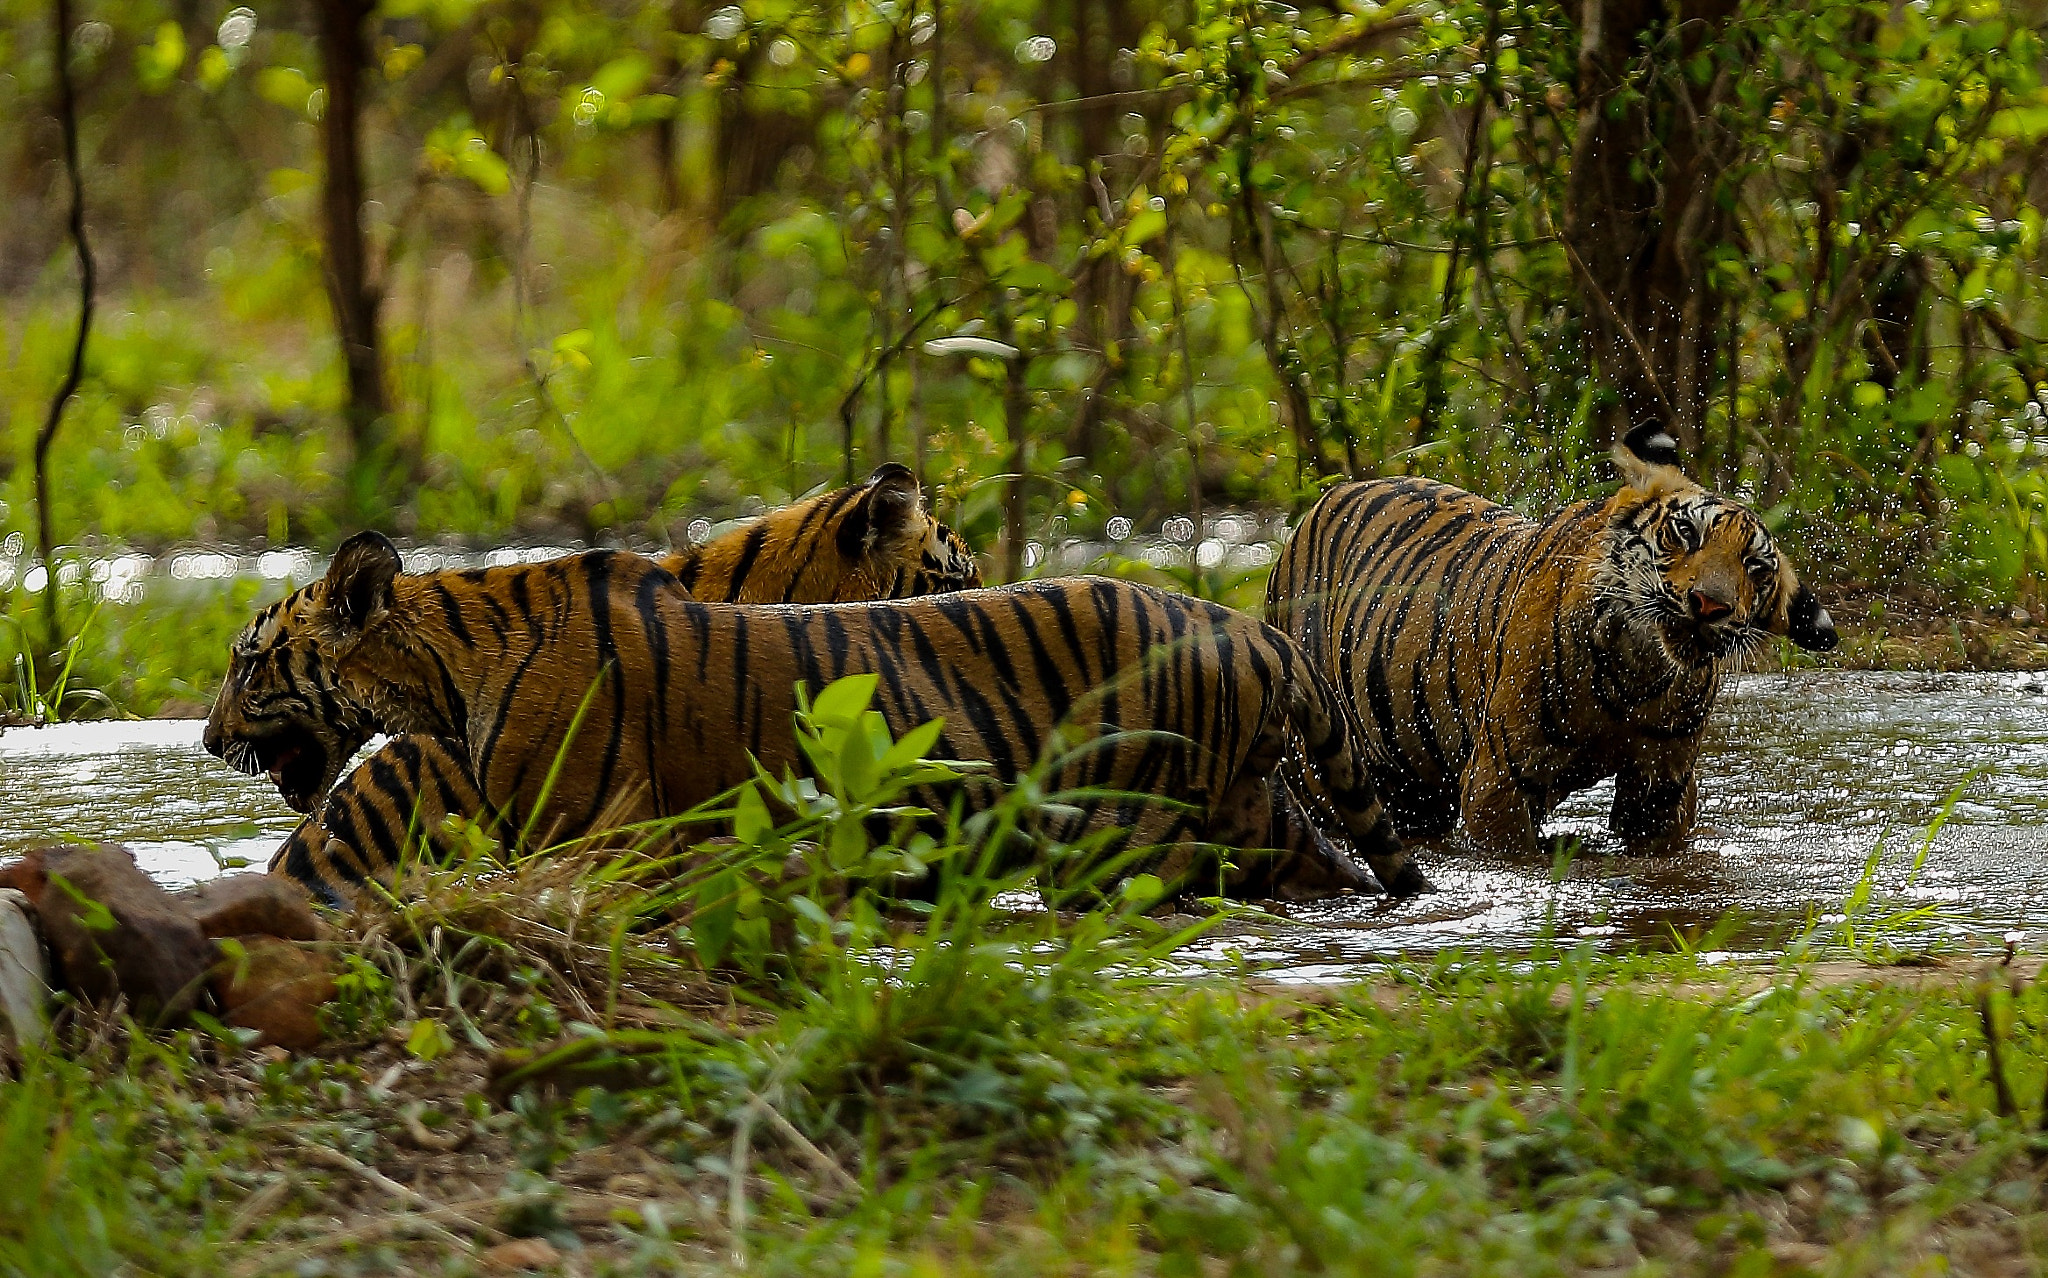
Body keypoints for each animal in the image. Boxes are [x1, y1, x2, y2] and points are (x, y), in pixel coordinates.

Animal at [203, 528, 1425, 909]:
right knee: (1330, 863)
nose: (207, 739)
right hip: (1249, 805)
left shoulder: (600, 832)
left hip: (1133, 823)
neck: (436, 675)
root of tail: (1255, 631)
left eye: (246, 660)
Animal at [1261, 421, 1843, 860]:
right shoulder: (1500, 785)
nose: (1710, 605)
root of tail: (1328, 498)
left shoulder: (1659, 793)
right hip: (1326, 768)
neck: (1637, 674)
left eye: (1756, 567)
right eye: (1685, 533)